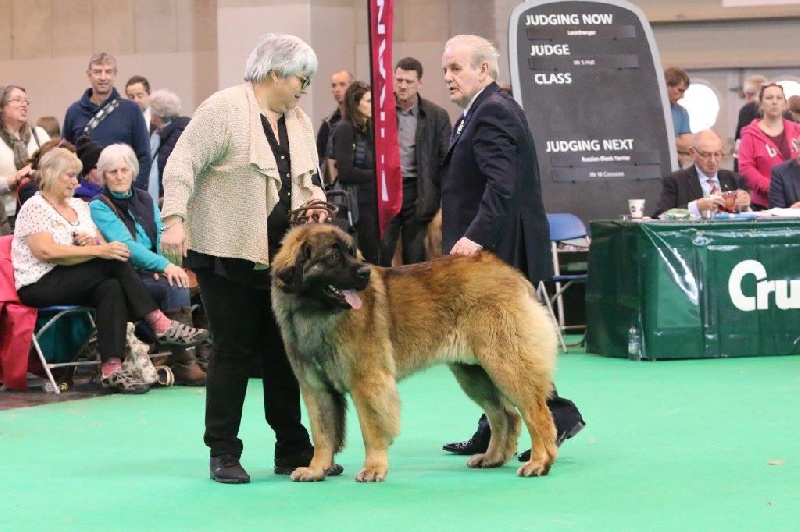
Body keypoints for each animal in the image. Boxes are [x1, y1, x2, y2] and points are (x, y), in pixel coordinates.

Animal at [271, 223, 558, 482]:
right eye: (333, 257)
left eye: (352, 253)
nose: (365, 272)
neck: (316, 313)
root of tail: (507, 270)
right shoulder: (316, 388)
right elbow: (322, 433)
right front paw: (316, 470)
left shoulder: (367, 381)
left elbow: (371, 427)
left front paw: (373, 468)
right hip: (474, 374)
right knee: (504, 415)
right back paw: (491, 458)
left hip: (505, 364)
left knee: (535, 412)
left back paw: (539, 462)